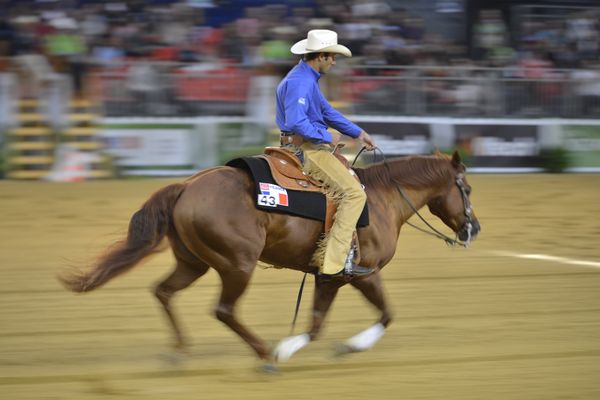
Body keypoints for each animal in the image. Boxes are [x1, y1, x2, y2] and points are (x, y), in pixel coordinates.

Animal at [61, 150, 480, 366]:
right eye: (467, 188)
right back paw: (264, 352)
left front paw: (316, 345)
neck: (379, 199)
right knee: (224, 310)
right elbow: (385, 314)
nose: (474, 229)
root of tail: (187, 186)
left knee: (163, 292)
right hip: (237, 264)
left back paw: (180, 351)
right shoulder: (362, 273)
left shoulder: (328, 277)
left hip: (193, 262)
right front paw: (334, 346)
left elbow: (317, 323)